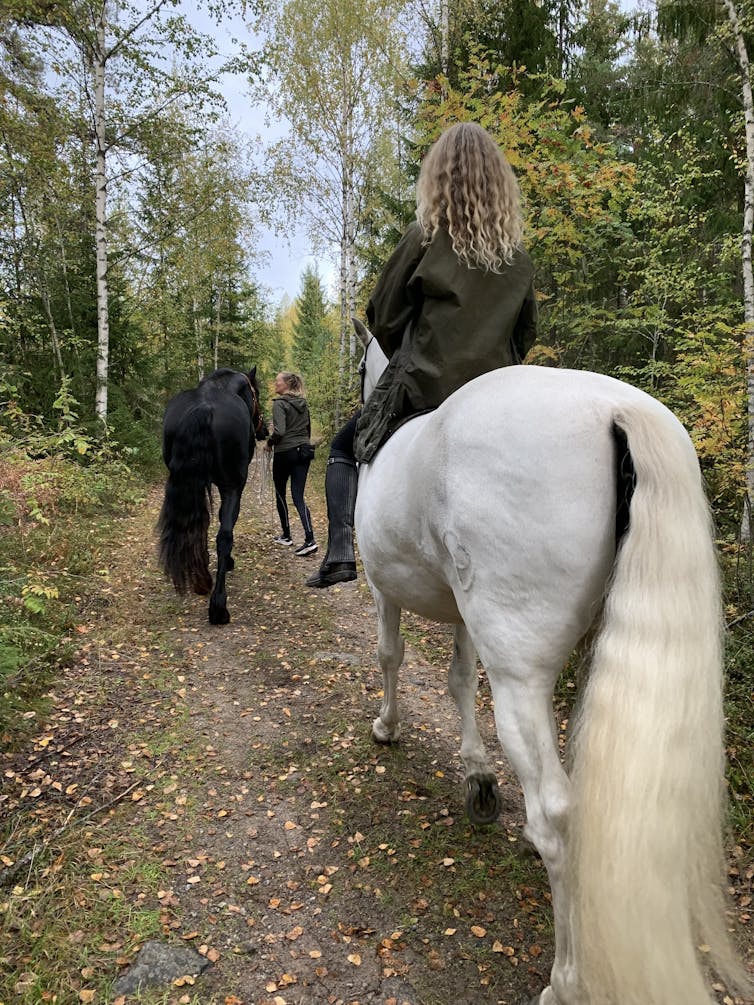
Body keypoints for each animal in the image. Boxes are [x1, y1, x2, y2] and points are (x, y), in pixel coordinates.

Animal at [157, 367, 268, 625]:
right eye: (256, 393)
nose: (264, 430)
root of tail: (204, 409)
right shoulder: (232, 486)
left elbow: (204, 522)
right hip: (232, 486)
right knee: (224, 536)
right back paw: (219, 606)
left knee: (196, 525)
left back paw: (201, 580)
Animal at [352, 319, 749, 1005]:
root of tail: (621, 409)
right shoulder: (466, 616)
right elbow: (459, 680)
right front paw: (477, 775)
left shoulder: (385, 590)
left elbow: (390, 656)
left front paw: (388, 727)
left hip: (521, 676)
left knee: (557, 815)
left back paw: (565, 980)